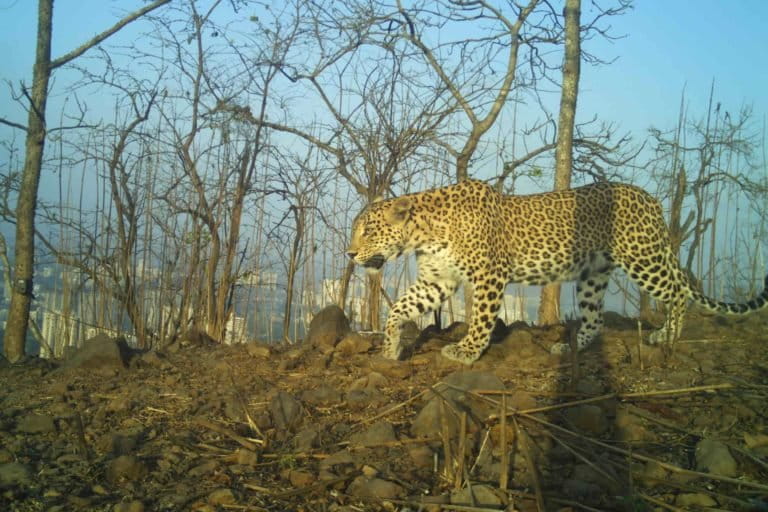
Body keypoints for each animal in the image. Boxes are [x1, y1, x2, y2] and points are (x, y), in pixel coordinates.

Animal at [348, 180, 768, 364]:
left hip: (644, 258)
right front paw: (391, 347)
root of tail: (651, 200)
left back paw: (667, 336)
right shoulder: (438, 280)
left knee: (679, 292)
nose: (350, 253)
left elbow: (481, 319)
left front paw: (466, 351)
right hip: (593, 275)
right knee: (595, 319)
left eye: (367, 230)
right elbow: (399, 308)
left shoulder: (489, 276)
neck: (424, 233)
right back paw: (570, 347)